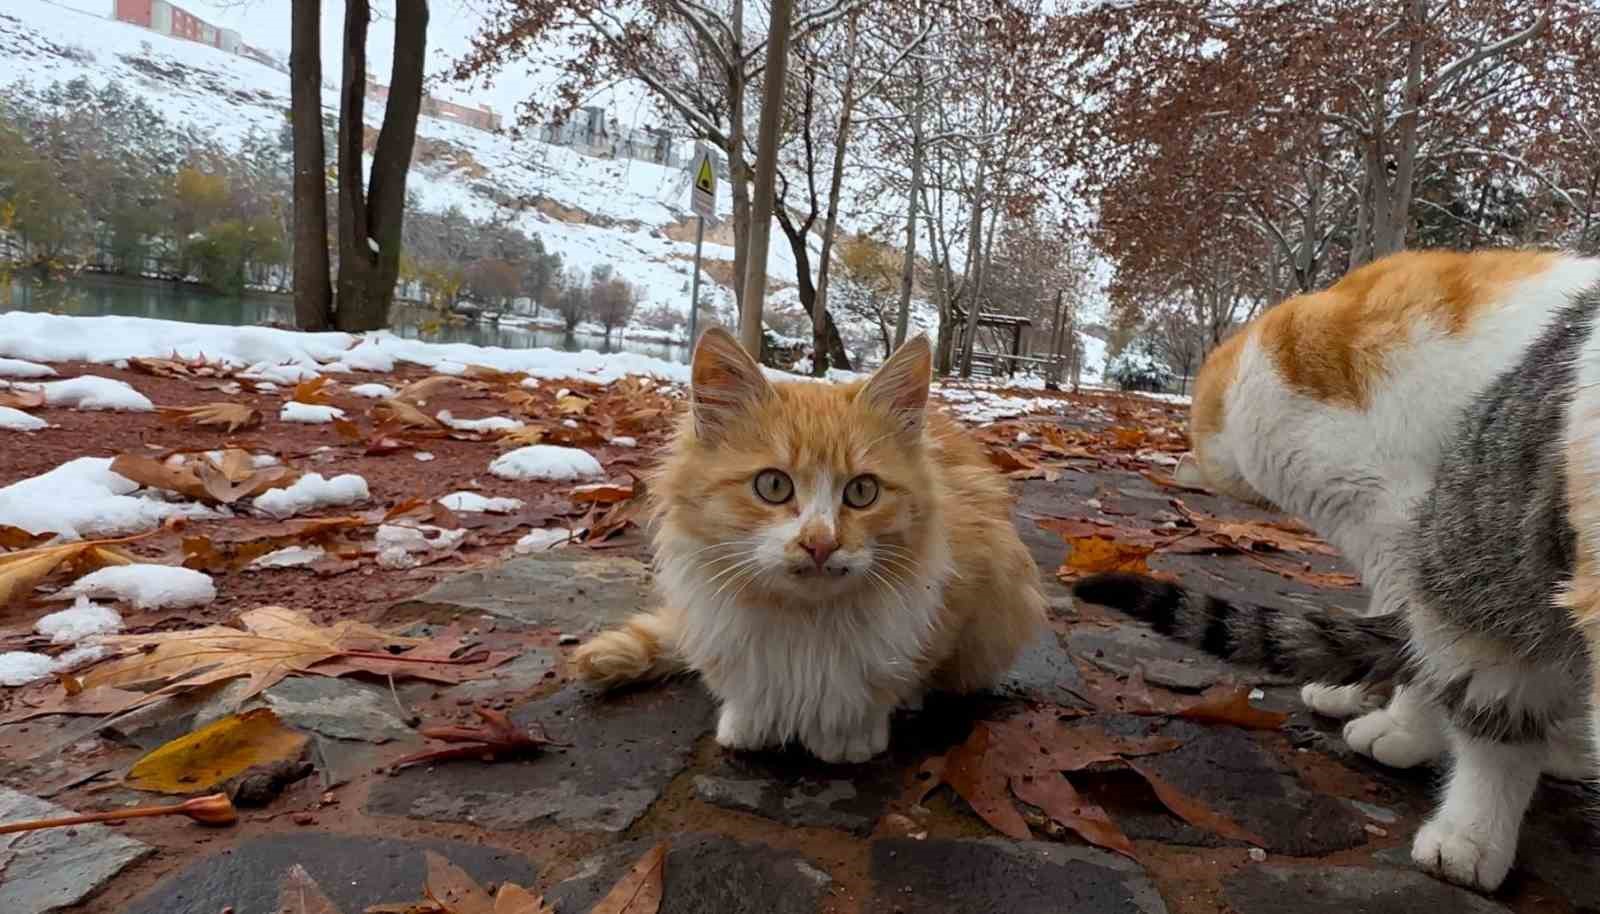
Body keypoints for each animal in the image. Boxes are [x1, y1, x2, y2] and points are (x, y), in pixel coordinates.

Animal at [576, 329, 1049, 765]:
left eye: (862, 491)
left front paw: (850, 737)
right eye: (772, 485)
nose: (821, 543)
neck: (805, 622)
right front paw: (751, 724)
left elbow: (894, 683)